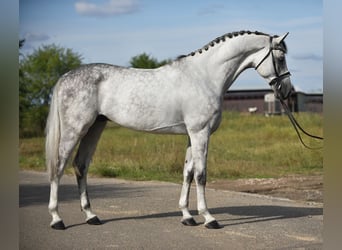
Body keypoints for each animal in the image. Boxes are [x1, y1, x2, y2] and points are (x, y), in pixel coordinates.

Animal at [44, 30, 292, 229]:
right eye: (280, 58)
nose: (287, 91)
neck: (205, 76)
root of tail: (65, 77)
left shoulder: (192, 135)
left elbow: (187, 173)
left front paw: (187, 216)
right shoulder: (200, 133)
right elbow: (201, 175)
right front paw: (209, 218)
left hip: (95, 127)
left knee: (80, 166)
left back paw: (91, 216)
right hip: (75, 129)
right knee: (59, 166)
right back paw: (57, 219)